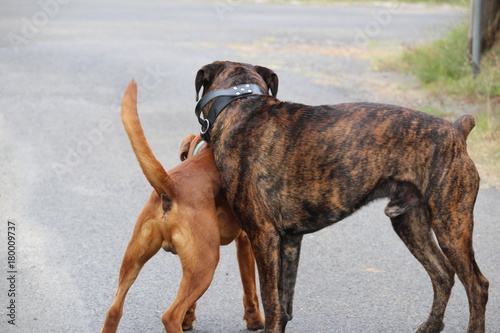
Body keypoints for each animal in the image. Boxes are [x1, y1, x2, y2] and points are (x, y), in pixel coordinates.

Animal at [102, 80, 266, 332]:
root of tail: (171, 186)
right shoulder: (246, 241)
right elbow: (251, 289)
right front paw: (255, 321)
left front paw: (189, 320)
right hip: (205, 267)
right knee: (170, 315)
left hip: (135, 259)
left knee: (114, 310)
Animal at [194, 60, 488, 332]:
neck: (241, 103)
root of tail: (456, 129)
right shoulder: (290, 241)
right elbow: (284, 300)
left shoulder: (263, 236)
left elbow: (271, 301)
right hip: (410, 224)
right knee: (443, 274)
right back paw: (430, 326)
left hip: (451, 226)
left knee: (477, 286)